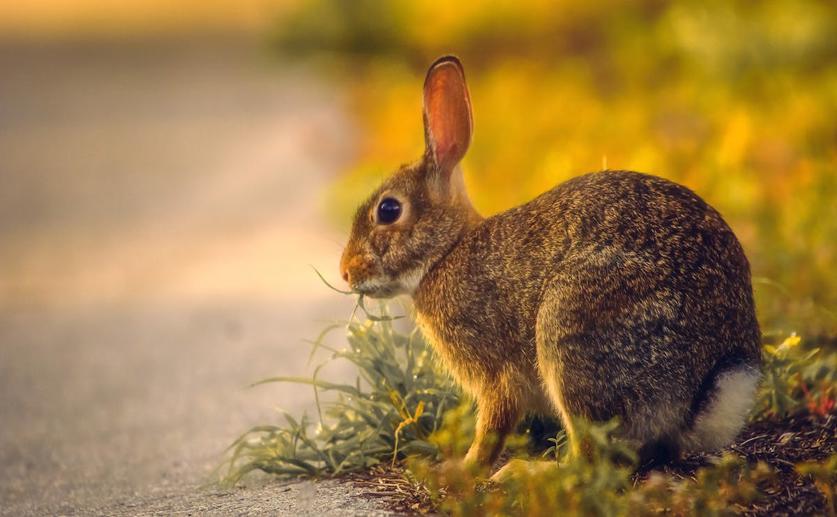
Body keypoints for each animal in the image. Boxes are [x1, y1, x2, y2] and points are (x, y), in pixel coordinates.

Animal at [339, 55, 762, 472]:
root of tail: (704, 386)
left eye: (388, 210)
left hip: (571, 331)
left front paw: (464, 470)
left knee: (590, 459)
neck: (447, 251)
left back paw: (526, 472)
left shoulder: (497, 374)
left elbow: (493, 425)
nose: (346, 271)